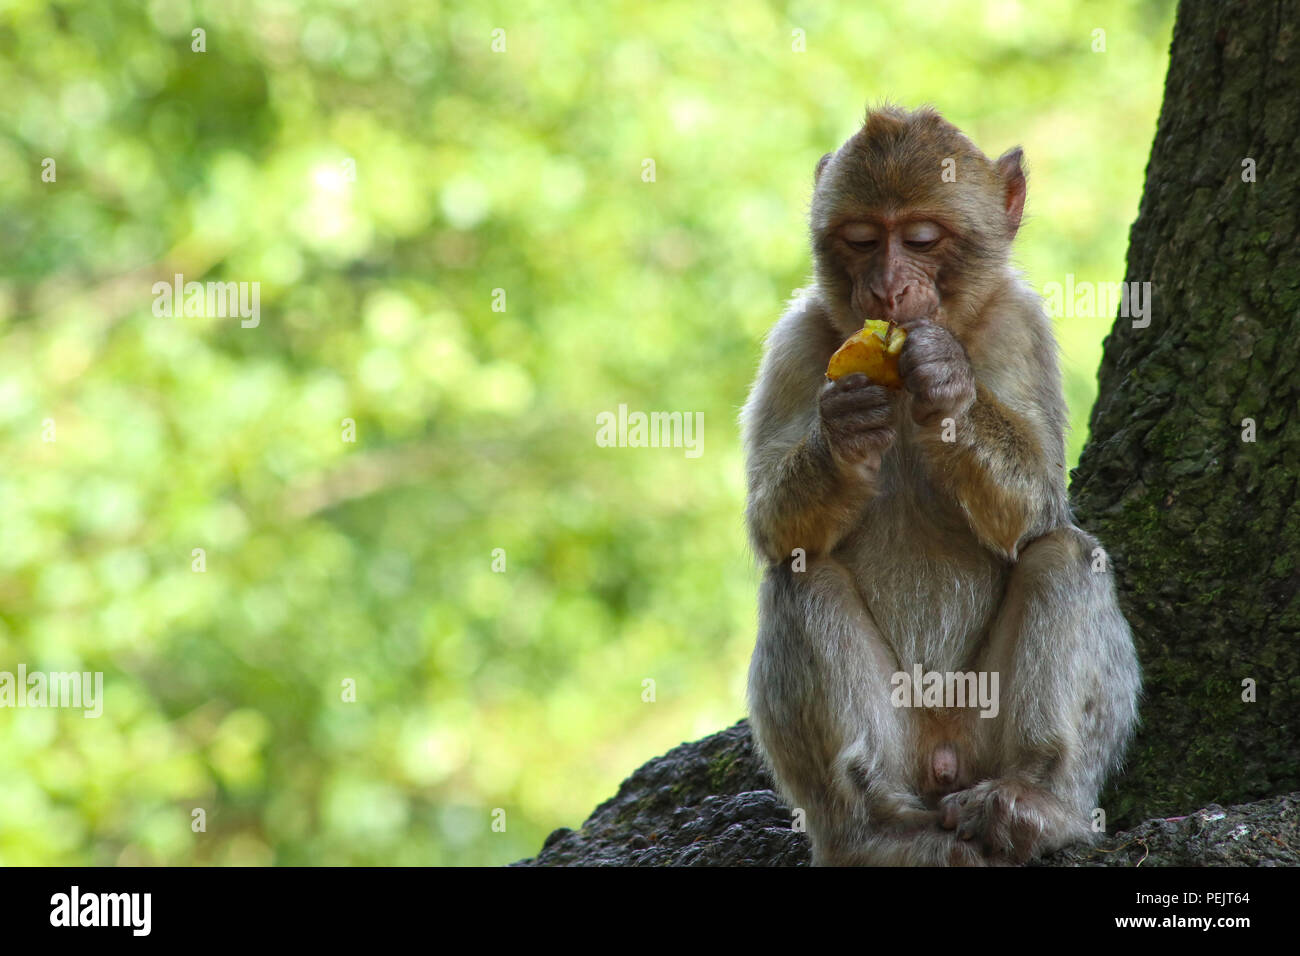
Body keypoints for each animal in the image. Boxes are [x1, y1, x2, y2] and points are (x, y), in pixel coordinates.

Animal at [743, 104, 1138, 868]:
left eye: (922, 238)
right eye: (862, 239)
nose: (888, 288)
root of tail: (943, 758)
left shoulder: (1020, 323)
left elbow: (1036, 508)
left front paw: (948, 386)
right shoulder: (795, 341)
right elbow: (771, 528)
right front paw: (842, 433)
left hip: (983, 728)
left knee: (1065, 556)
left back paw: (1031, 804)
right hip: (899, 745)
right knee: (801, 576)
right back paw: (876, 828)